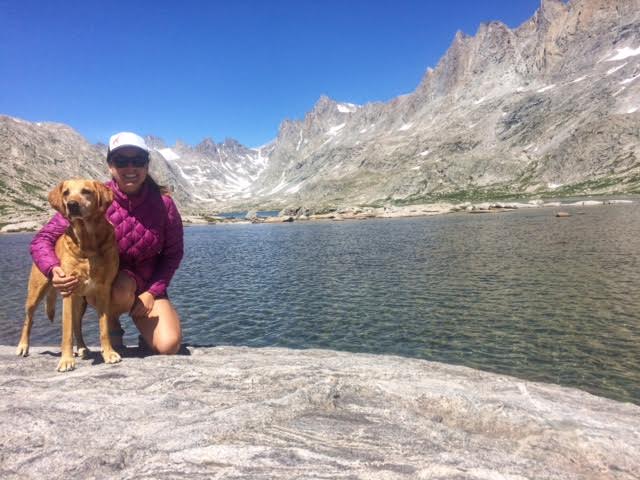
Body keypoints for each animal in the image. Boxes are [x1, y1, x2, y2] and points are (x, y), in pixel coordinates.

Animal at [16, 180, 122, 372]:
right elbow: (66, 332)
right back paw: (23, 346)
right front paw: (66, 360)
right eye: (66, 192)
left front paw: (109, 353)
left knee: (77, 325)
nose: (72, 205)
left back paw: (82, 347)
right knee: (29, 319)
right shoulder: (67, 290)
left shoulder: (104, 291)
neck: (88, 242)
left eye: (86, 191)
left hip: (80, 300)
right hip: (36, 293)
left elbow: (103, 328)